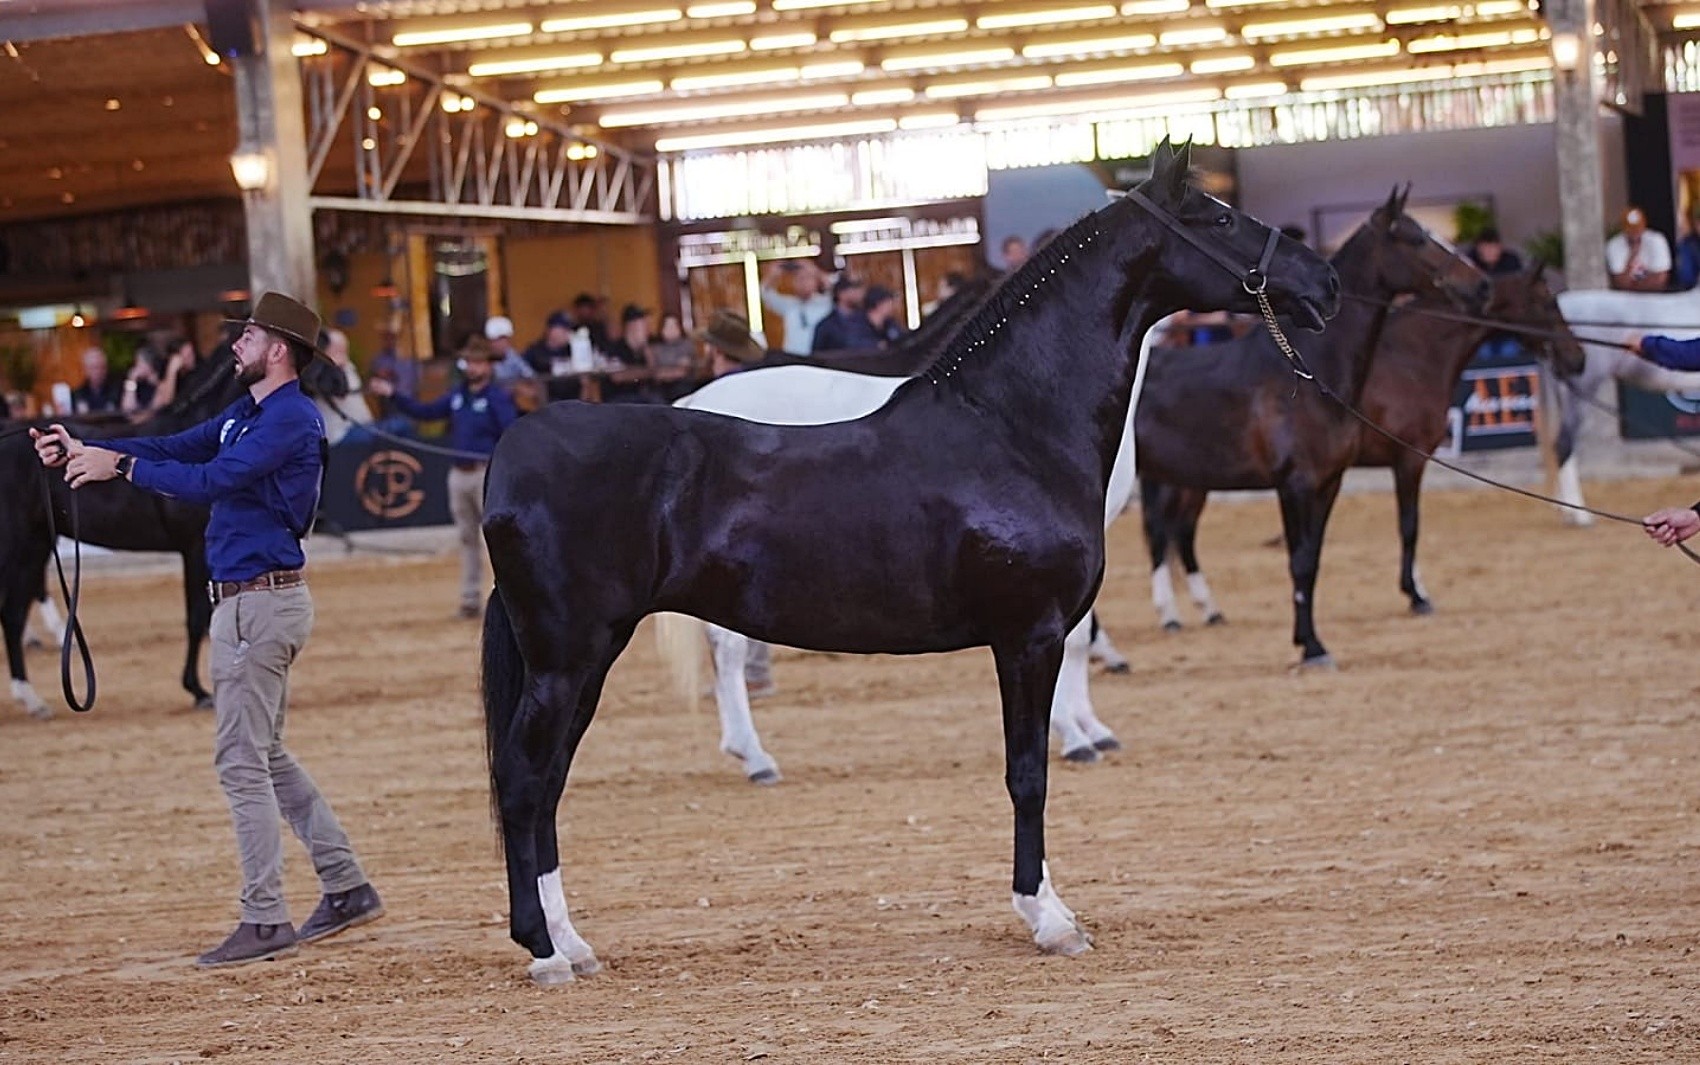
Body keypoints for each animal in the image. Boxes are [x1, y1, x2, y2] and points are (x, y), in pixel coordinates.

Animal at [1, 349, 243, 718]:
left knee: (14, 614)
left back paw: (33, 698)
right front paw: (199, 691)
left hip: (35, 545)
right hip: (16, 546)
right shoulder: (195, 550)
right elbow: (198, 618)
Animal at [479, 139, 1341, 983]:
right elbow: (1028, 772)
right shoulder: (1029, 636)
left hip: (585, 658)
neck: (1013, 426)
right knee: (525, 779)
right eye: (1219, 216)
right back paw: (546, 949)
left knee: (547, 783)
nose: (1324, 282)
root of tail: (509, 459)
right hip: (569, 656)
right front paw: (1049, 917)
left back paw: (574, 942)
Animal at [1133, 188, 1488, 669]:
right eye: (1415, 238)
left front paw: (1310, 640)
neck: (1311, 369)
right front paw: (1312, 648)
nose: (1480, 285)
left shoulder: (1329, 483)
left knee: (1175, 534)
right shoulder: (1294, 485)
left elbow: (1314, 560)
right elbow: (1298, 561)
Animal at [1144, 267, 1588, 631]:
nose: (1577, 359)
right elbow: (1409, 525)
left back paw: (1207, 609)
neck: (1412, 357)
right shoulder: (1408, 459)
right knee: (1163, 532)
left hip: (1190, 480)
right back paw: (1172, 615)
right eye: (1546, 302)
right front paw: (1416, 595)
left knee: (1179, 533)